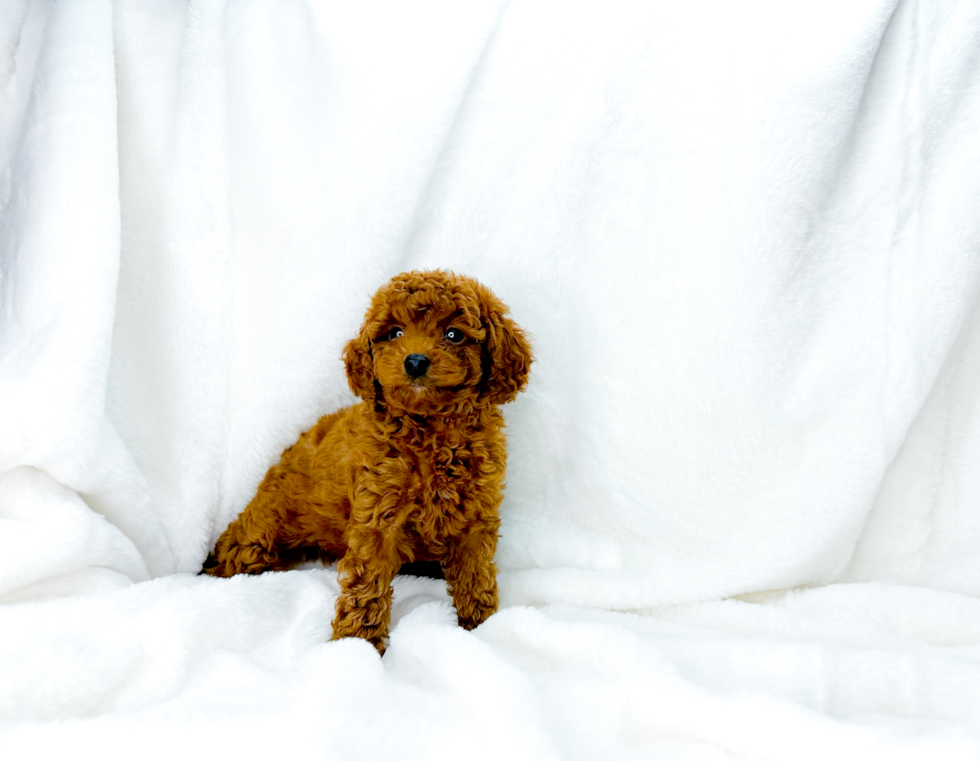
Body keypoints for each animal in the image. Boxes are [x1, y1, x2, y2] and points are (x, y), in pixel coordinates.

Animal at [203, 270, 532, 652]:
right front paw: (355, 643)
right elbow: (368, 580)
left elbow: (475, 573)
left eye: (454, 334)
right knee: (237, 551)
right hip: (262, 531)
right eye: (395, 333)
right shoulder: (377, 515)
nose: (415, 361)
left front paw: (481, 624)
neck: (431, 429)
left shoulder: (475, 514)